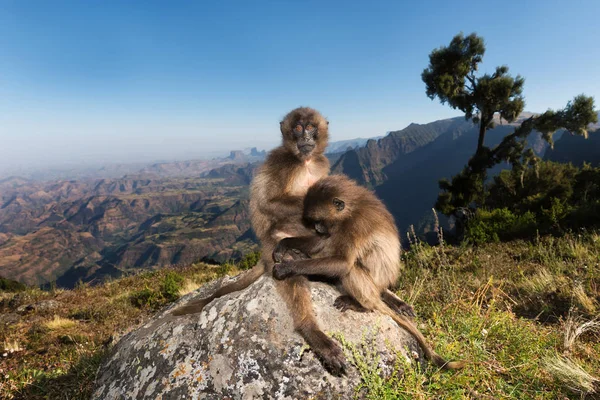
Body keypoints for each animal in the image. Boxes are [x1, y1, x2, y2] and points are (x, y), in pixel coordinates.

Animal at [274, 177, 464, 370]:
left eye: (319, 220)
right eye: (314, 222)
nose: (318, 228)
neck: (351, 210)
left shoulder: (353, 226)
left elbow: (343, 263)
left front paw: (288, 267)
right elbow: (320, 242)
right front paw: (284, 245)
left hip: (371, 287)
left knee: (350, 269)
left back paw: (361, 305)